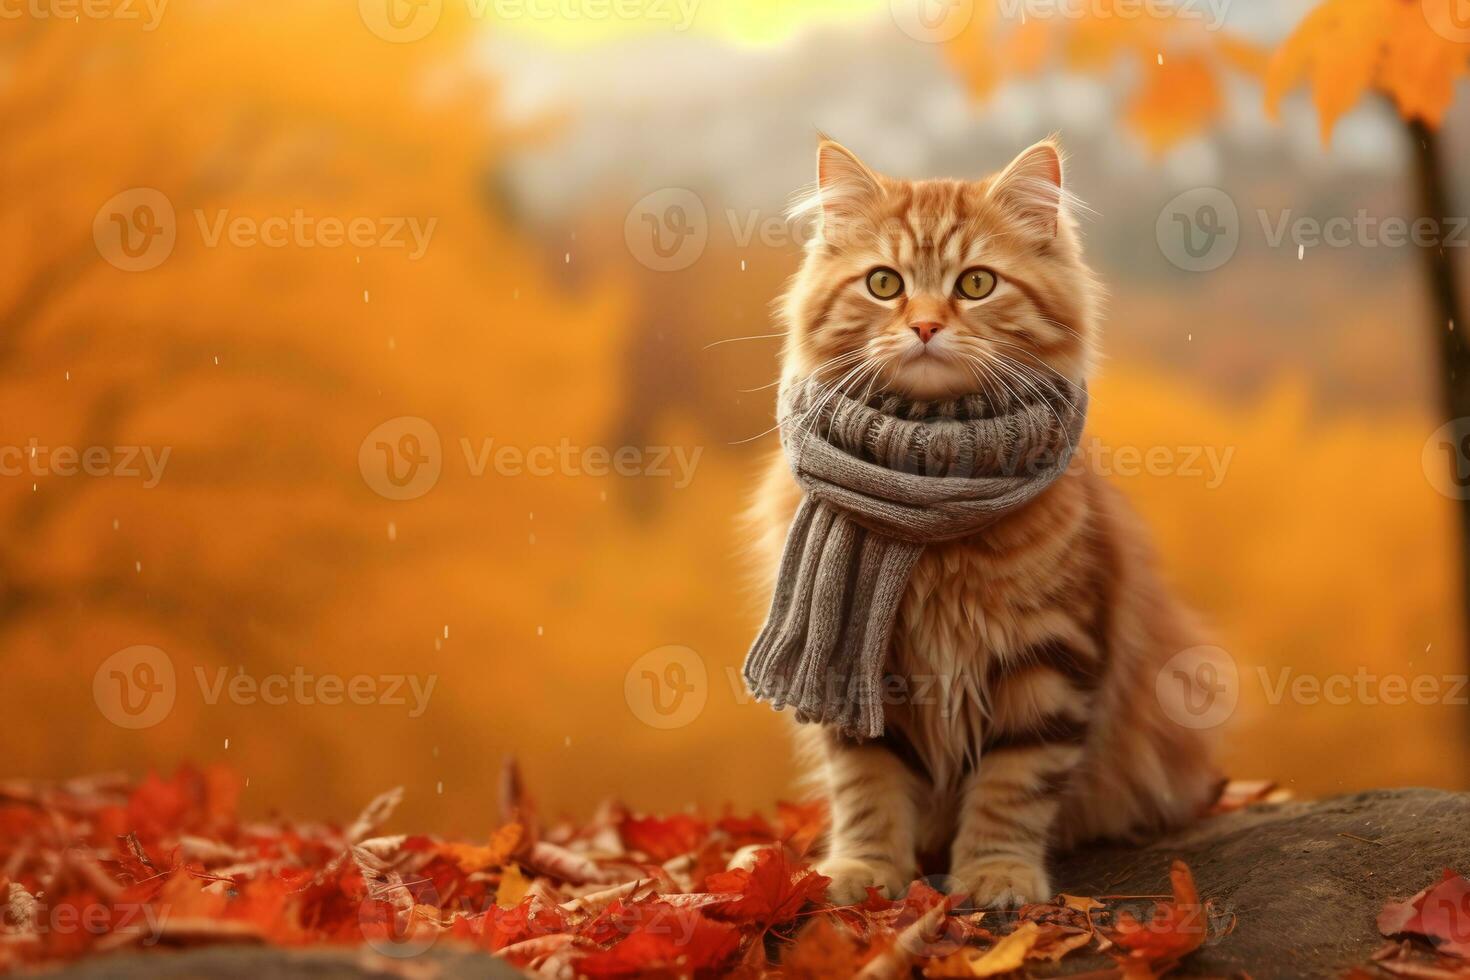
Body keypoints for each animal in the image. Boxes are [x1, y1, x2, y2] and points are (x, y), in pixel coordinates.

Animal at [746, 135, 1217, 905]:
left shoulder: (1050, 656)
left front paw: (997, 873)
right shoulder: (863, 670)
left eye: (975, 285)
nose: (926, 325)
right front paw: (864, 870)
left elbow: (1013, 784)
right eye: (884, 284)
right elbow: (866, 785)